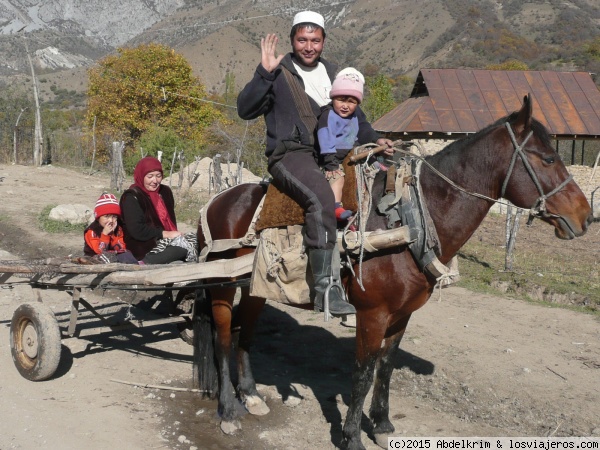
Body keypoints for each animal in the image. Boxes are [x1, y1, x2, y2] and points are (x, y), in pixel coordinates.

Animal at [195, 94, 592, 446]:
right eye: (548, 158)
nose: (585, 217)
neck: (410, 218)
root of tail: (218, 200)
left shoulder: (402, 314)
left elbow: (385, 366)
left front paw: (382, 424)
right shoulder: (372, 314)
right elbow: (362, 372)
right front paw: (352, 437)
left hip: (256, 288)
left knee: (245, 333)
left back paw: (251, 395)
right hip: (221, 286)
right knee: (224, 338)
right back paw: (228, 410)